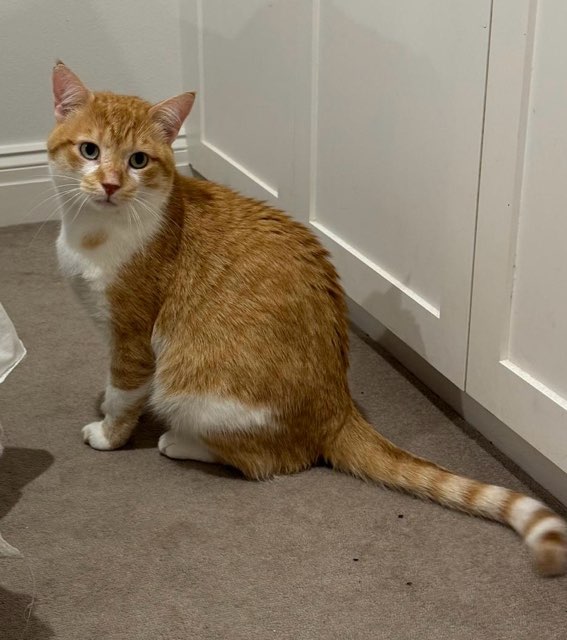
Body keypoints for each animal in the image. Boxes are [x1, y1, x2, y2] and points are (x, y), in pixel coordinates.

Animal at [47, 62, 566, 576]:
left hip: (188, 388)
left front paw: (108, 434)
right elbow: (113, 385)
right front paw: (104, 405)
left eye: (138, 160)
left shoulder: (132, 335)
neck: (91, 233)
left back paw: (180, 441)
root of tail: (339, 405)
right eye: (90, 150)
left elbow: (124, 394)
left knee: (270, 460)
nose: (110, 184)